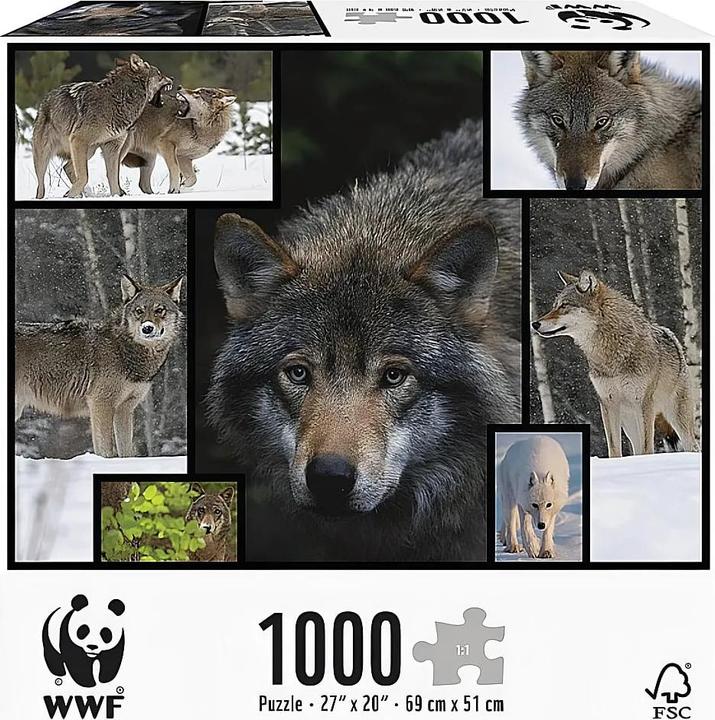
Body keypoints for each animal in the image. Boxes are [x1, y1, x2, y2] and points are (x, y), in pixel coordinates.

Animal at [15, 275, 183, 457]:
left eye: (159, 310)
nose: (147, 328)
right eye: (139, 311)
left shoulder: (125, 409)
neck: (123, 349)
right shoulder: (101, 404)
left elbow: (126, 452)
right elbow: (105, 451)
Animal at [32, 54, 173, 199]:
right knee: (41, 186)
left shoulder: (112, 148)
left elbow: (114, 179)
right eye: (159, 74)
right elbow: (84, 177)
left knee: (67, 167)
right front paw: (70, 194)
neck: (119, 100)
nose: (172, 79)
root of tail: (46, 99)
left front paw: (116, 195)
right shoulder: (79, 140)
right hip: (46, 156)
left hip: (89, 151)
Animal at [532, 270, 698, 457]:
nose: (534, 323)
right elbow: (614, 448)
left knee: (692, 446)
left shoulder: (643, 403)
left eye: (564, 305)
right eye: (555, 306)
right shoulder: (607, 403)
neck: (610, 354)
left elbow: (647, 449)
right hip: (630, 423)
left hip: (675, 419)